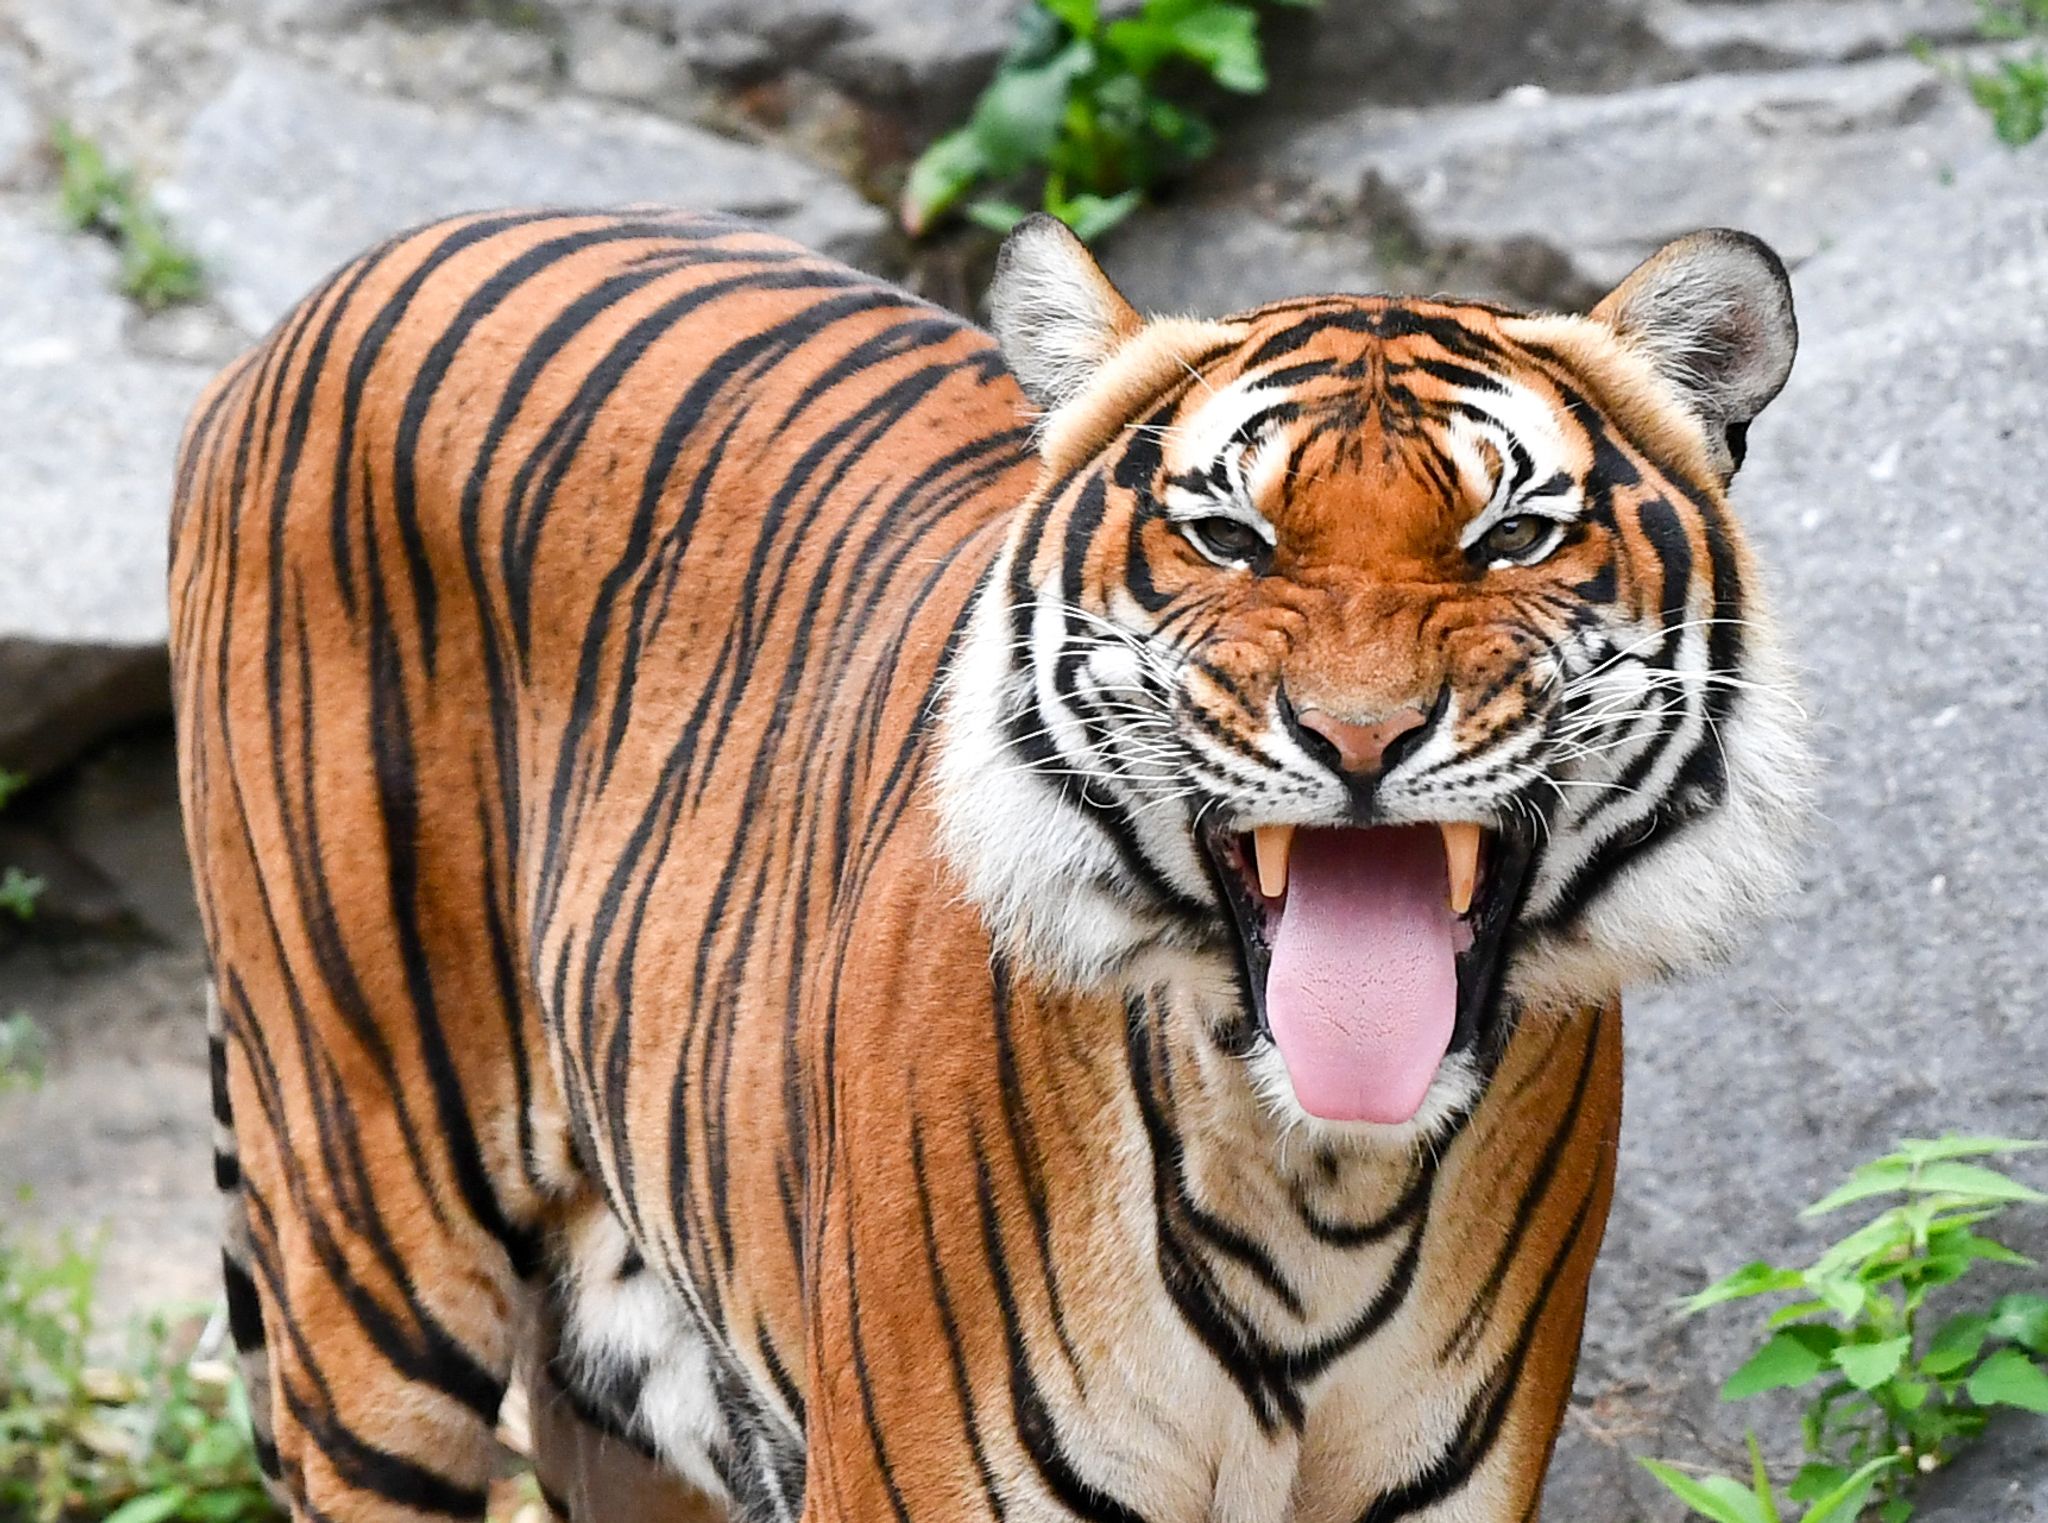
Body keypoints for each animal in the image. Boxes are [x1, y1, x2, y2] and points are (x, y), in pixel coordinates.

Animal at [172, 205, 1810, 1523]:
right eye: (1226, 535)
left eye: (1515, 533)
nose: (1360, 735)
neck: (1318, 1181)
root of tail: (323, 299)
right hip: (364, 1226)